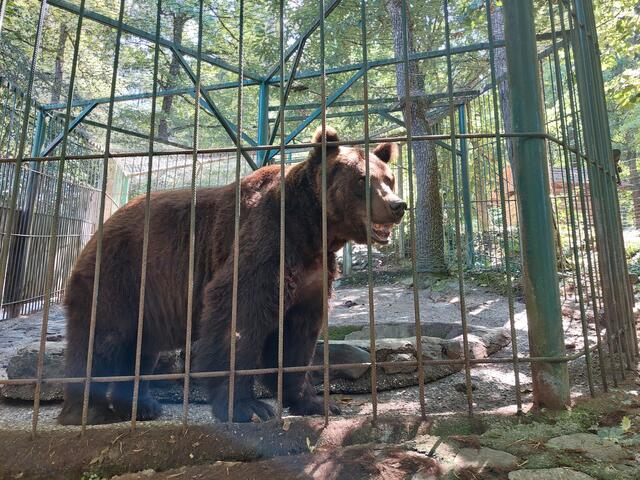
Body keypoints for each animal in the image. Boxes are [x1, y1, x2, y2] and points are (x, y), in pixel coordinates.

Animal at [57, 126, 407, 424]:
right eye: (362, 179)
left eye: (388, 179)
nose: (398, 205)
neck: (311, 229)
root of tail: (101, 225)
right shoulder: (264, 242)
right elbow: (238, 317)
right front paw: (249, 407)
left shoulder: (313, 274)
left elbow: (299, 336)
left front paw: (315, 402)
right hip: (119, 275)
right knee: (102, 339)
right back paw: (88, 410)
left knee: (140, 349)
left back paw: (142, 406)